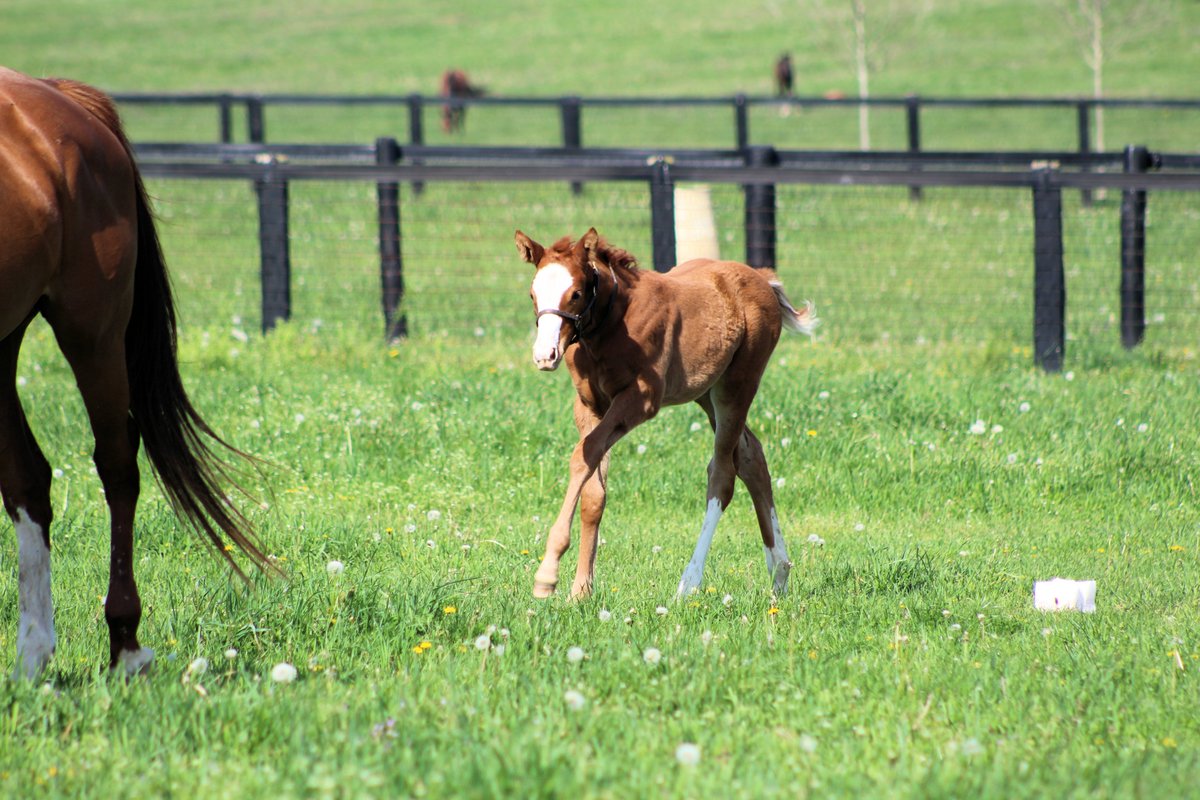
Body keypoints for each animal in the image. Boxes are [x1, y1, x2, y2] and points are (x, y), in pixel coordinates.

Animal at [513, 227, 816, 597]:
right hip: (707, 392)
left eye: (576, 293)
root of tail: (761, 277)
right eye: (533, 294)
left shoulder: (641, 399)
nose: (546, 355)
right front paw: (581, 590)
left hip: (737, 386)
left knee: (723, 474)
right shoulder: (588, 406)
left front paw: (548, 575)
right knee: (751, 457)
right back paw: (780, 572)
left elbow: (584, 455)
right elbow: (592, 486)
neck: (612, 325)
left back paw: (690, 582)